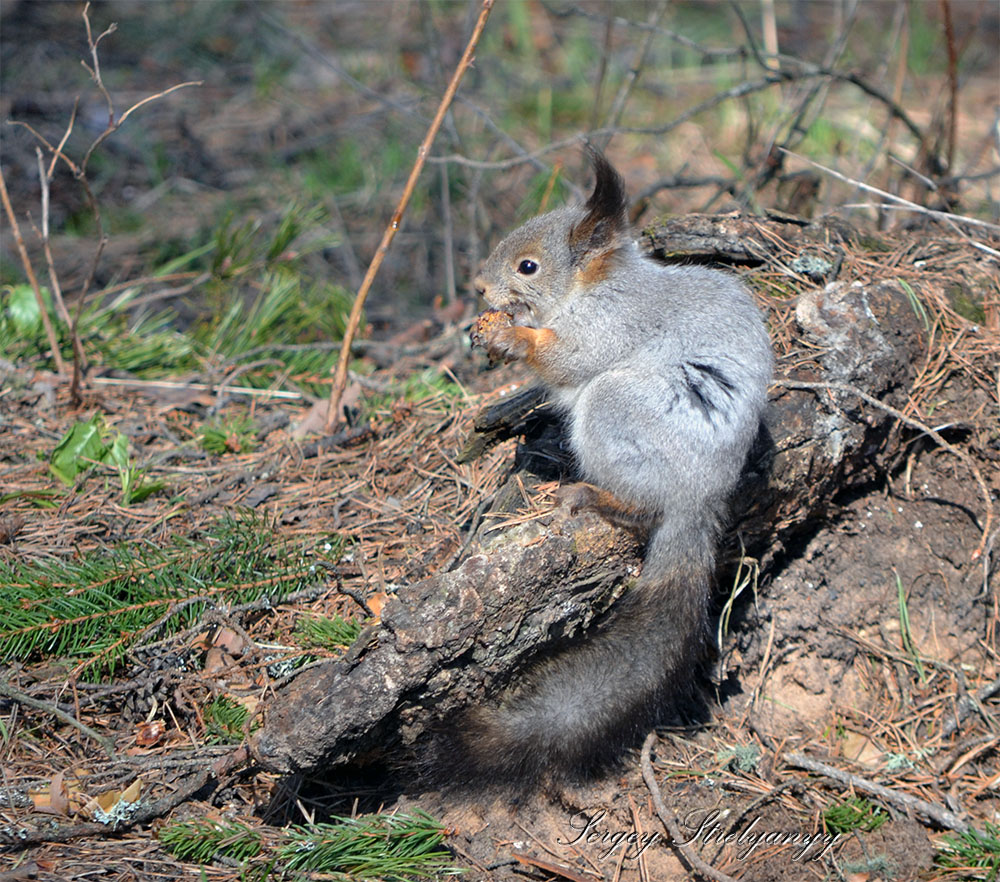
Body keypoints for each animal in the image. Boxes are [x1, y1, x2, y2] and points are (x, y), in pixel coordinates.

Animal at [462, 146, 772, 784]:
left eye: (528, 266)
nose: (478, 287)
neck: (592, 286)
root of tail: (700, 495)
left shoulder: (608, 325)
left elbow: (565, 356)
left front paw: (511, 336)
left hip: (617, 411)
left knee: (642, 508)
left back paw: (592, 496)